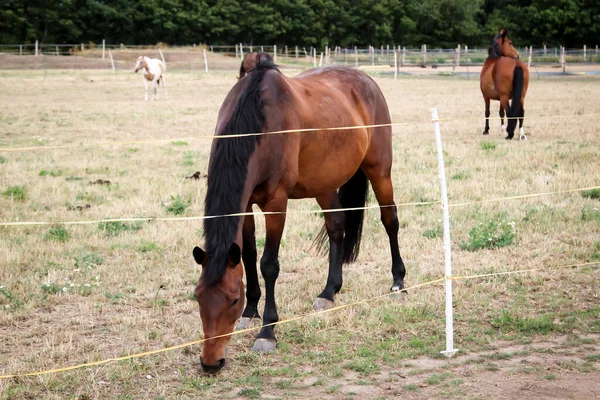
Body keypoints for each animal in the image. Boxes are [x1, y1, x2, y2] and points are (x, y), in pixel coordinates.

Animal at [192, 52, 408, 372]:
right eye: (198, 298)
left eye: (231, 299)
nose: (210, 363)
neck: (258, 123)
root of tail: (365, 79)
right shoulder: (246, 205)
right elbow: (249, 256)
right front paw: (251, 311)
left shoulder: (276, 204)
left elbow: (269, 264)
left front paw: (267, 331)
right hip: (325, 184)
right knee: (336, 226)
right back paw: (329, 292)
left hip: (379, 170)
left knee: (389, 219)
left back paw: (398, 282)